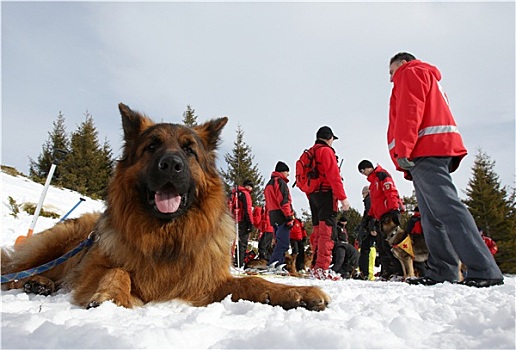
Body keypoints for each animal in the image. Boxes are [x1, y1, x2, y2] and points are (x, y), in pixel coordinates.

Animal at [0, 102, 328, 310]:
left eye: (189, 150)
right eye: (152, 146)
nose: (171, 165)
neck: (166, 236)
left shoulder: (206, 281)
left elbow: (256, 284)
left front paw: (298, 294)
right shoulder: (92, 269)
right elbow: (117, 271)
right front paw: (112, 296)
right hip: (58, 243)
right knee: (17, 270)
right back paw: (37, 281)